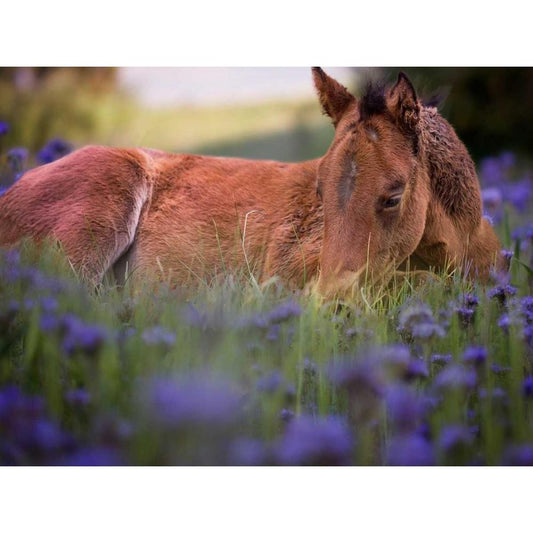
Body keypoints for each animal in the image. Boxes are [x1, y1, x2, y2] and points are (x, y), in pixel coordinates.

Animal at [0, 68, 502, 297]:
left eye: (394, 196)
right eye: (319, 192)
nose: (330, 304)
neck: (460, 241)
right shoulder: (283, 275)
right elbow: (423, 283)